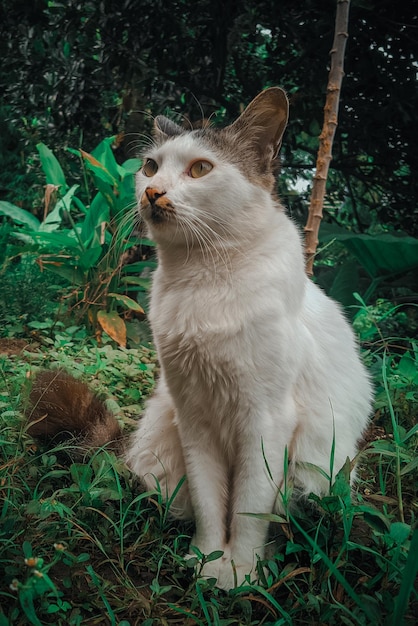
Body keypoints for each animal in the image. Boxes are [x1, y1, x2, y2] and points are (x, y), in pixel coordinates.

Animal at [125, 88, 372, 588]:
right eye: (150, 166)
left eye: (201, 169)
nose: (153, 192)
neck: (202, 280)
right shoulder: (192, 417)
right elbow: (209, 503)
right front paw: (205, 560)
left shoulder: (265, 421)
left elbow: (248, 506)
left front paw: (239, 571)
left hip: (313, 475)